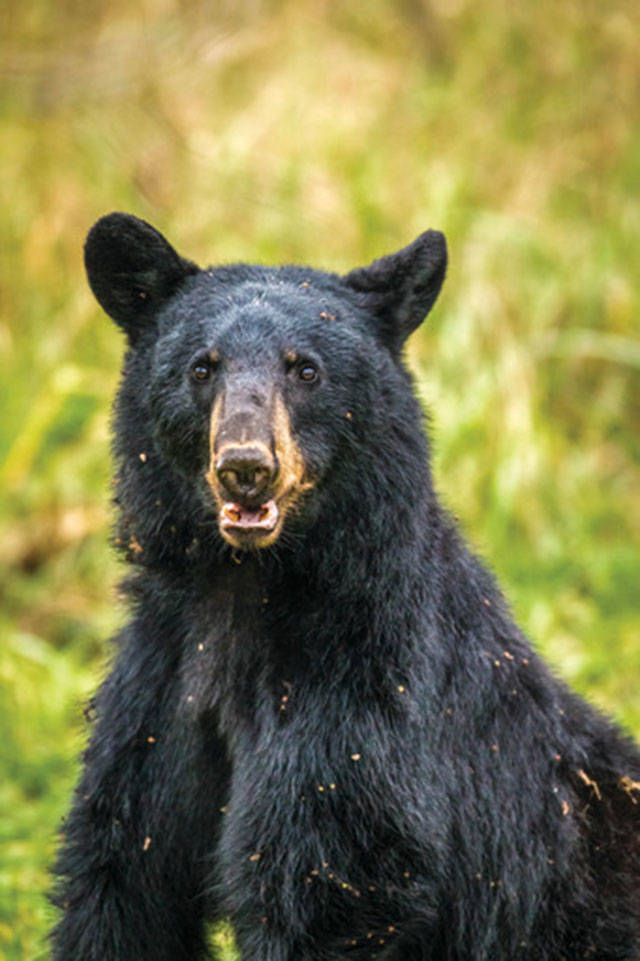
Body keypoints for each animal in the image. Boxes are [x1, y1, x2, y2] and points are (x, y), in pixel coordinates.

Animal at [51, 214, 640, 956]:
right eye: (201, 367)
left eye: (306, 369)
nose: (247, 467)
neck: (244, 590)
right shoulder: (161, 687)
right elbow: (123, 878)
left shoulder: (361, 690)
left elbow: (323, 875)